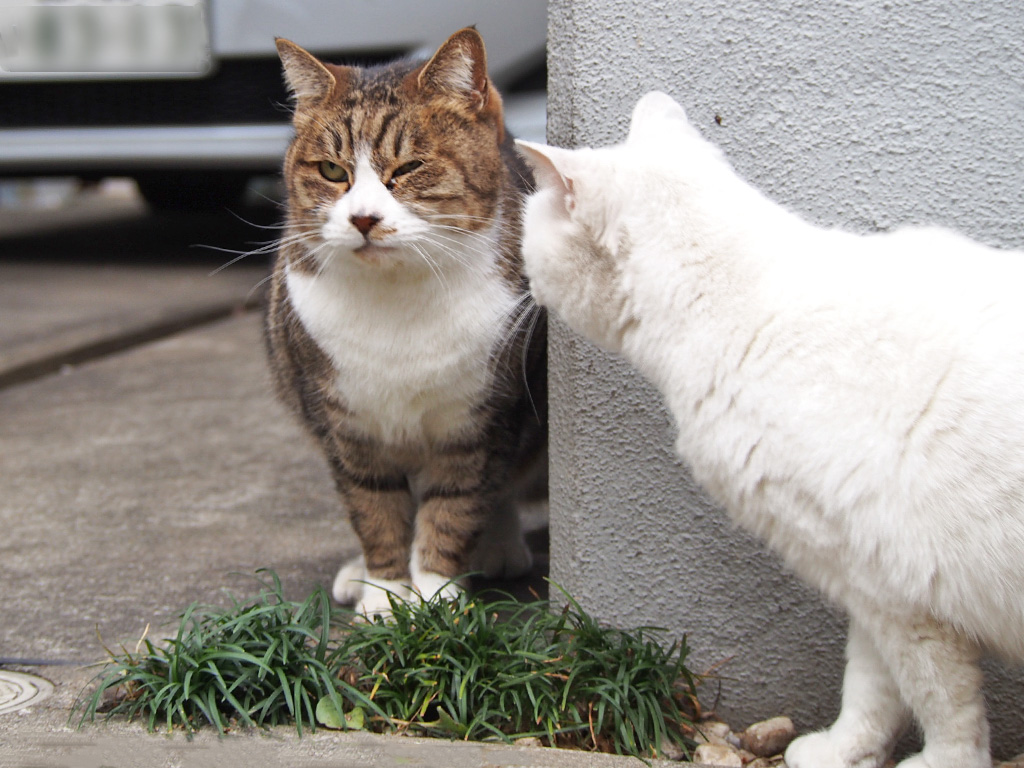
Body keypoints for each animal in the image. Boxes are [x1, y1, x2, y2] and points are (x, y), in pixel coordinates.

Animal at [268, 30, 548, 618]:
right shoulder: (346, 426)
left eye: (410, 167)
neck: (397, 296)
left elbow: (455, 506)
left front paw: (436, 593)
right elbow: (374, 509)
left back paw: (497, 547)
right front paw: (384, 592)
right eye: (333, 171)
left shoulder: (483, 419)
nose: (363, 218)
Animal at [516, 91, 1024, 768]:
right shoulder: (863, 579)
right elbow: (871, 683)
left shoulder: (903, 596)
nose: (521, 279)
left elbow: (941, 701)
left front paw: (944, 762)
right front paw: (843, 750)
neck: (738, 307)